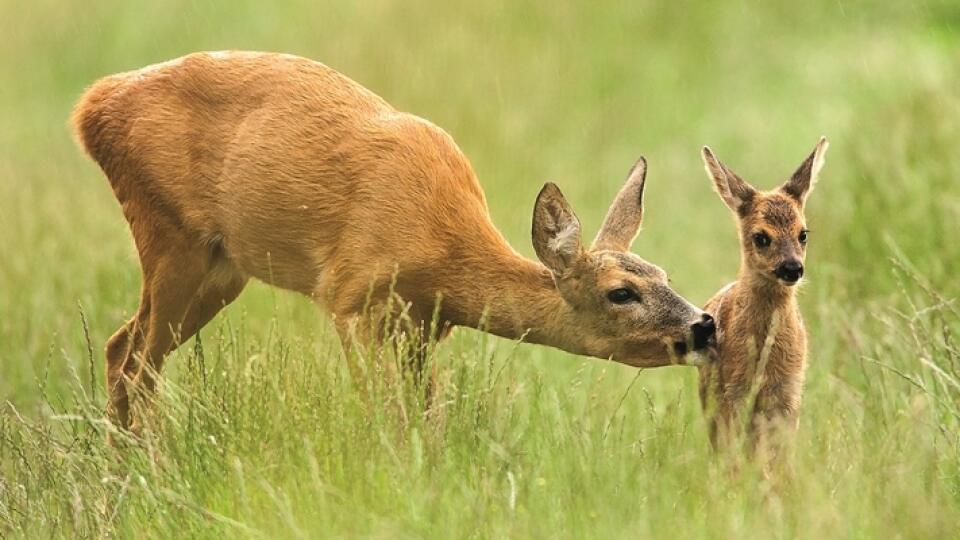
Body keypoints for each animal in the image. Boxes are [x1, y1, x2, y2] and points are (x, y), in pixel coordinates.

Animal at [73, 50, 712, 430]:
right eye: (620, 292)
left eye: (665, 274)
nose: (704, 325)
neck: (445, 257)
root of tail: (91, 108)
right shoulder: (352, 298)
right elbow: (383, 415)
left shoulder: (425, 325)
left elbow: (425, 417)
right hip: (168, 234)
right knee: (132, 360)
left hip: (221, 269)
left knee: (122, 347)